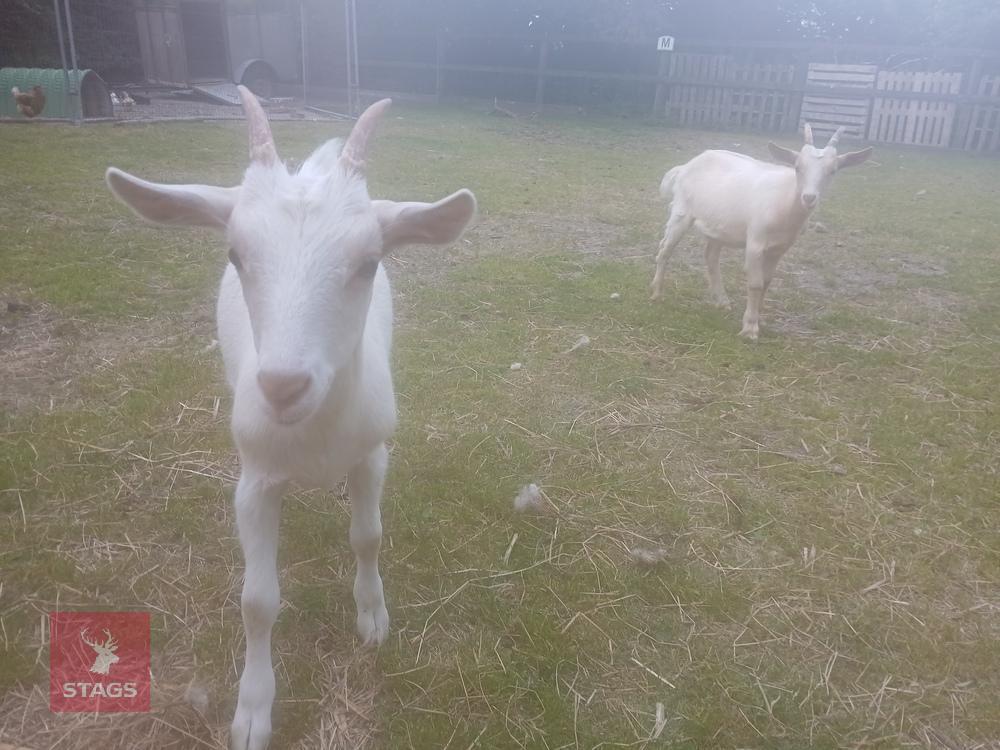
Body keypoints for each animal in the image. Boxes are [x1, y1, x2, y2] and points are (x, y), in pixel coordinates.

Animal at [105, 88, 477, 750]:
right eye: (235, 253)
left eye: (369, 262)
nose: (282, 385)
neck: (315, 438)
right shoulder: (254, 478)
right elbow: (257, 600)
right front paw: (253, 711)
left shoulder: (372, 454)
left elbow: (368, 535)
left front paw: (372, 616)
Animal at [649, 124, 872, 339]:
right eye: (797, 167)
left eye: (832, 171)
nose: (809, 198)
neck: (785, 201)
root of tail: (686, 166)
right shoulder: (755, 241)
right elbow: (755, 283)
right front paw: (749, 329)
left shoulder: (779, 249)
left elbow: (766, 282)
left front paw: (758, 319)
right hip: (681, 211)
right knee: (665, 249)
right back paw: (656, 294)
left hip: (719, 224)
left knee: (711, 256)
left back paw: (722, 301)